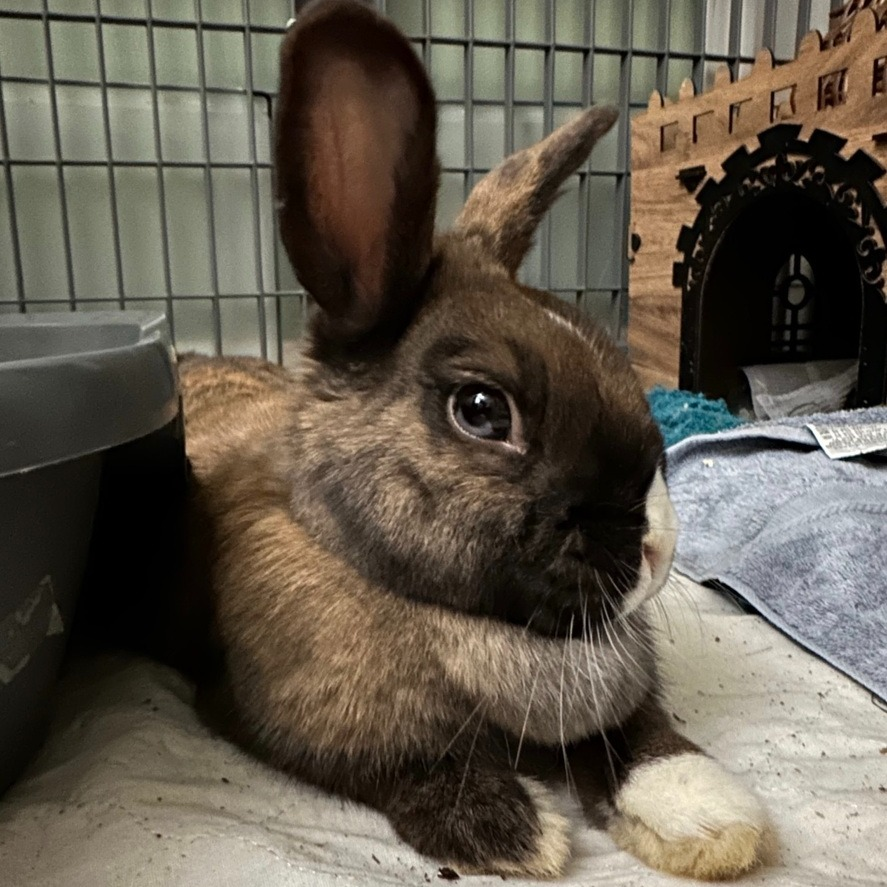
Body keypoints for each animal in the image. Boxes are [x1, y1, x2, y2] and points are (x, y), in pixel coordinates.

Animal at [167, 0, 774, 879]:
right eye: (482, 410)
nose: (658, 547)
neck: (481, 625)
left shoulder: (618, 706)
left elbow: (637, 732)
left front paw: (708, 813)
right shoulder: (293, 724)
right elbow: (415, 763)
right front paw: (517, 830)